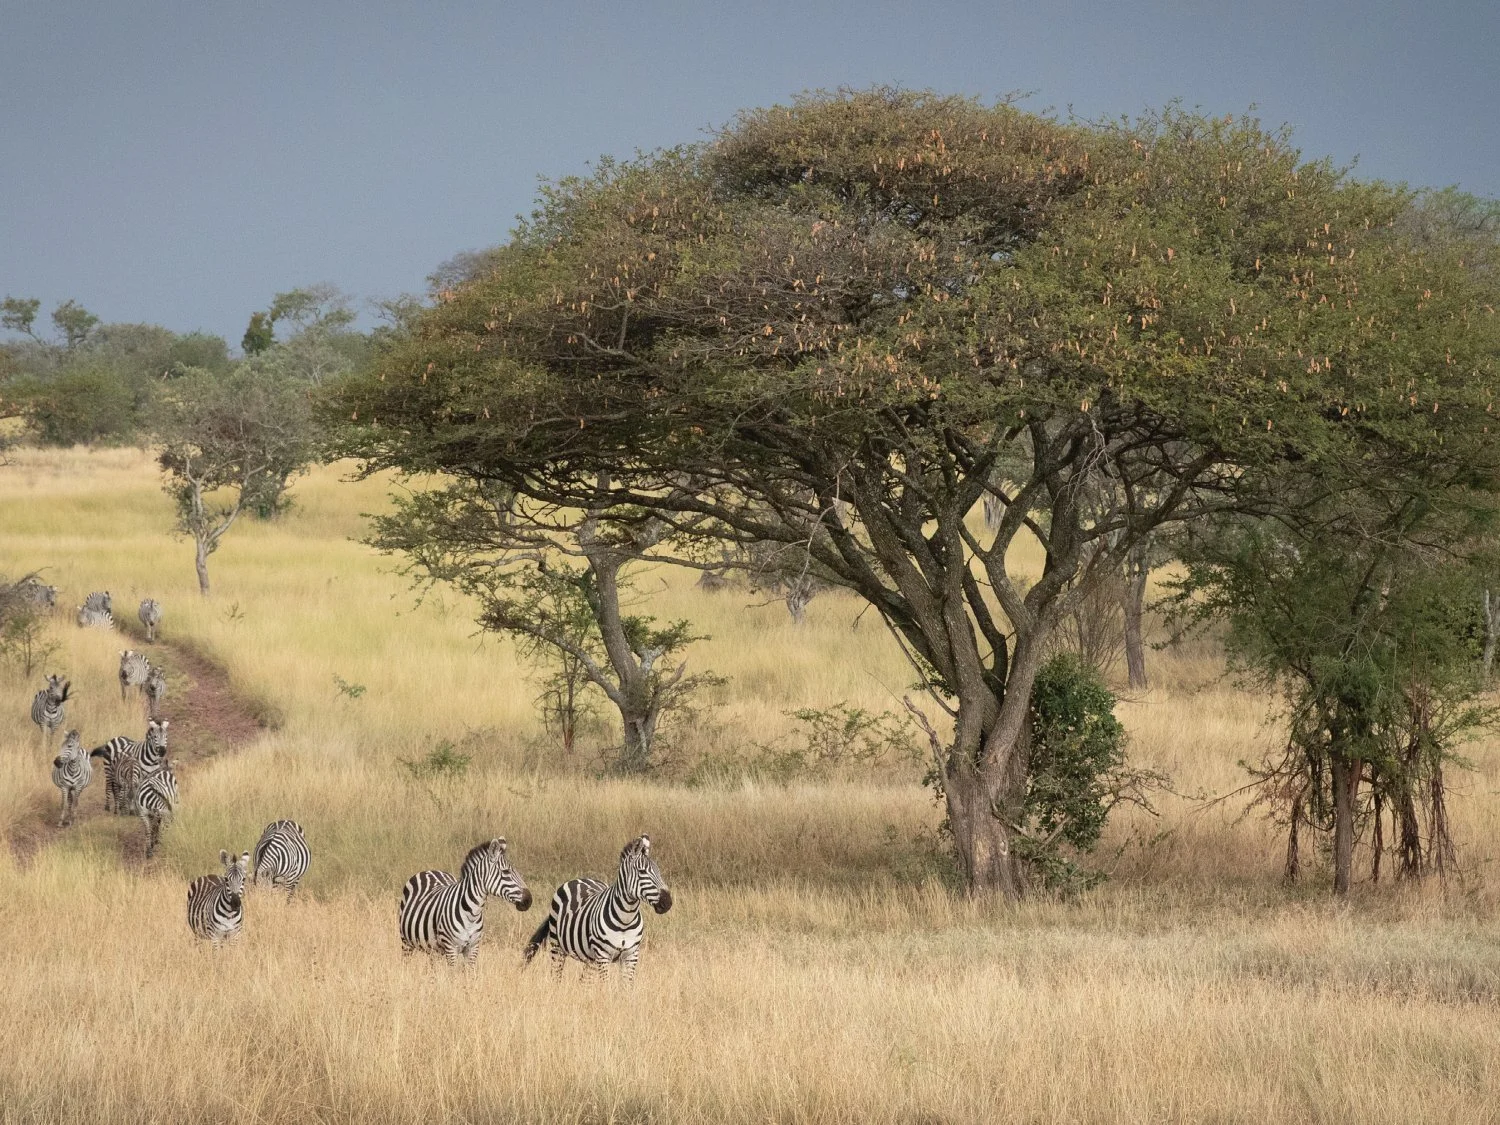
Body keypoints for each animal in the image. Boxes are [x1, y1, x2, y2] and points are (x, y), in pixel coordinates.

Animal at [398, 838, 532, 965]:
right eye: (505, 872)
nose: (529, 900)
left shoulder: (473, 948)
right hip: (406, 942)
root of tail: (429, 871)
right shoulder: (451, 948)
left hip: (433, 949)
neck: (472, 913)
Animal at [523, 835, 673, 982]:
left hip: (590, 958)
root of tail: (579, 879)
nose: (668, 902)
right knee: (556, 976)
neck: (626, 919)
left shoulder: (631, 955)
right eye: (642, 872)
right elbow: (605, 985)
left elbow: (627, 987)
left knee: (584, 981)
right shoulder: (603, 955)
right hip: (557, 946)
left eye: (659, 872)